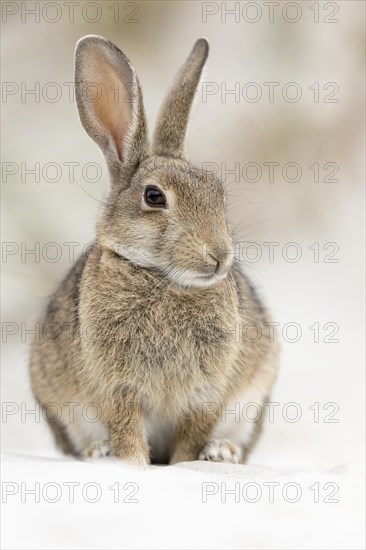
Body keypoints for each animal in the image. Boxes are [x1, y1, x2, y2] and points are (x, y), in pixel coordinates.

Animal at [28, 35, 278, 466]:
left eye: (218, 192)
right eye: (154, 196)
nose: (219, 256)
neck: (162, 279)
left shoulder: (206, 395)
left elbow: (190, 438)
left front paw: (186, 465)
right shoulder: (116, 388)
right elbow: (127, 431)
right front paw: (131, 464)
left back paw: (222, 452)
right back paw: (97, 452)